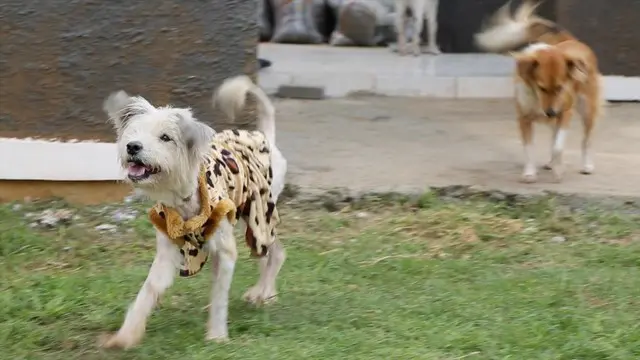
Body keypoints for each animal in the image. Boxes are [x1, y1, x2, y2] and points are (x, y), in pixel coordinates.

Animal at [98, 75, 288, 348]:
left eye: (165, 137)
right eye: (132, 133)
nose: (133, 147)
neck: (184, 199)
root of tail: (266, 138)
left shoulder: (225, 250)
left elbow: (220, 296)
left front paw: (217, 335)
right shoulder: (167, 254)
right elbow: (147, 291)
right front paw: (125, 336)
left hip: (259, 216)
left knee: (275, 254)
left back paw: (264, 293)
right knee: (265, 256)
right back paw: (264, 292)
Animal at [472, 0, 604, 183]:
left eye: (560, 87)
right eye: (541, 87)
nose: (551, 112)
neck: (537, 99)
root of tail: (572, 41)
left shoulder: (565, 113)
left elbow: (558, 146)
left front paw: (558, 169)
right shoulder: (524, 118)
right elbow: (529, 148)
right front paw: (530, 173)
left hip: (587, 109)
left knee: (586, 140)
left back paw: (586, 166)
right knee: (555, 136)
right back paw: (551, 163)